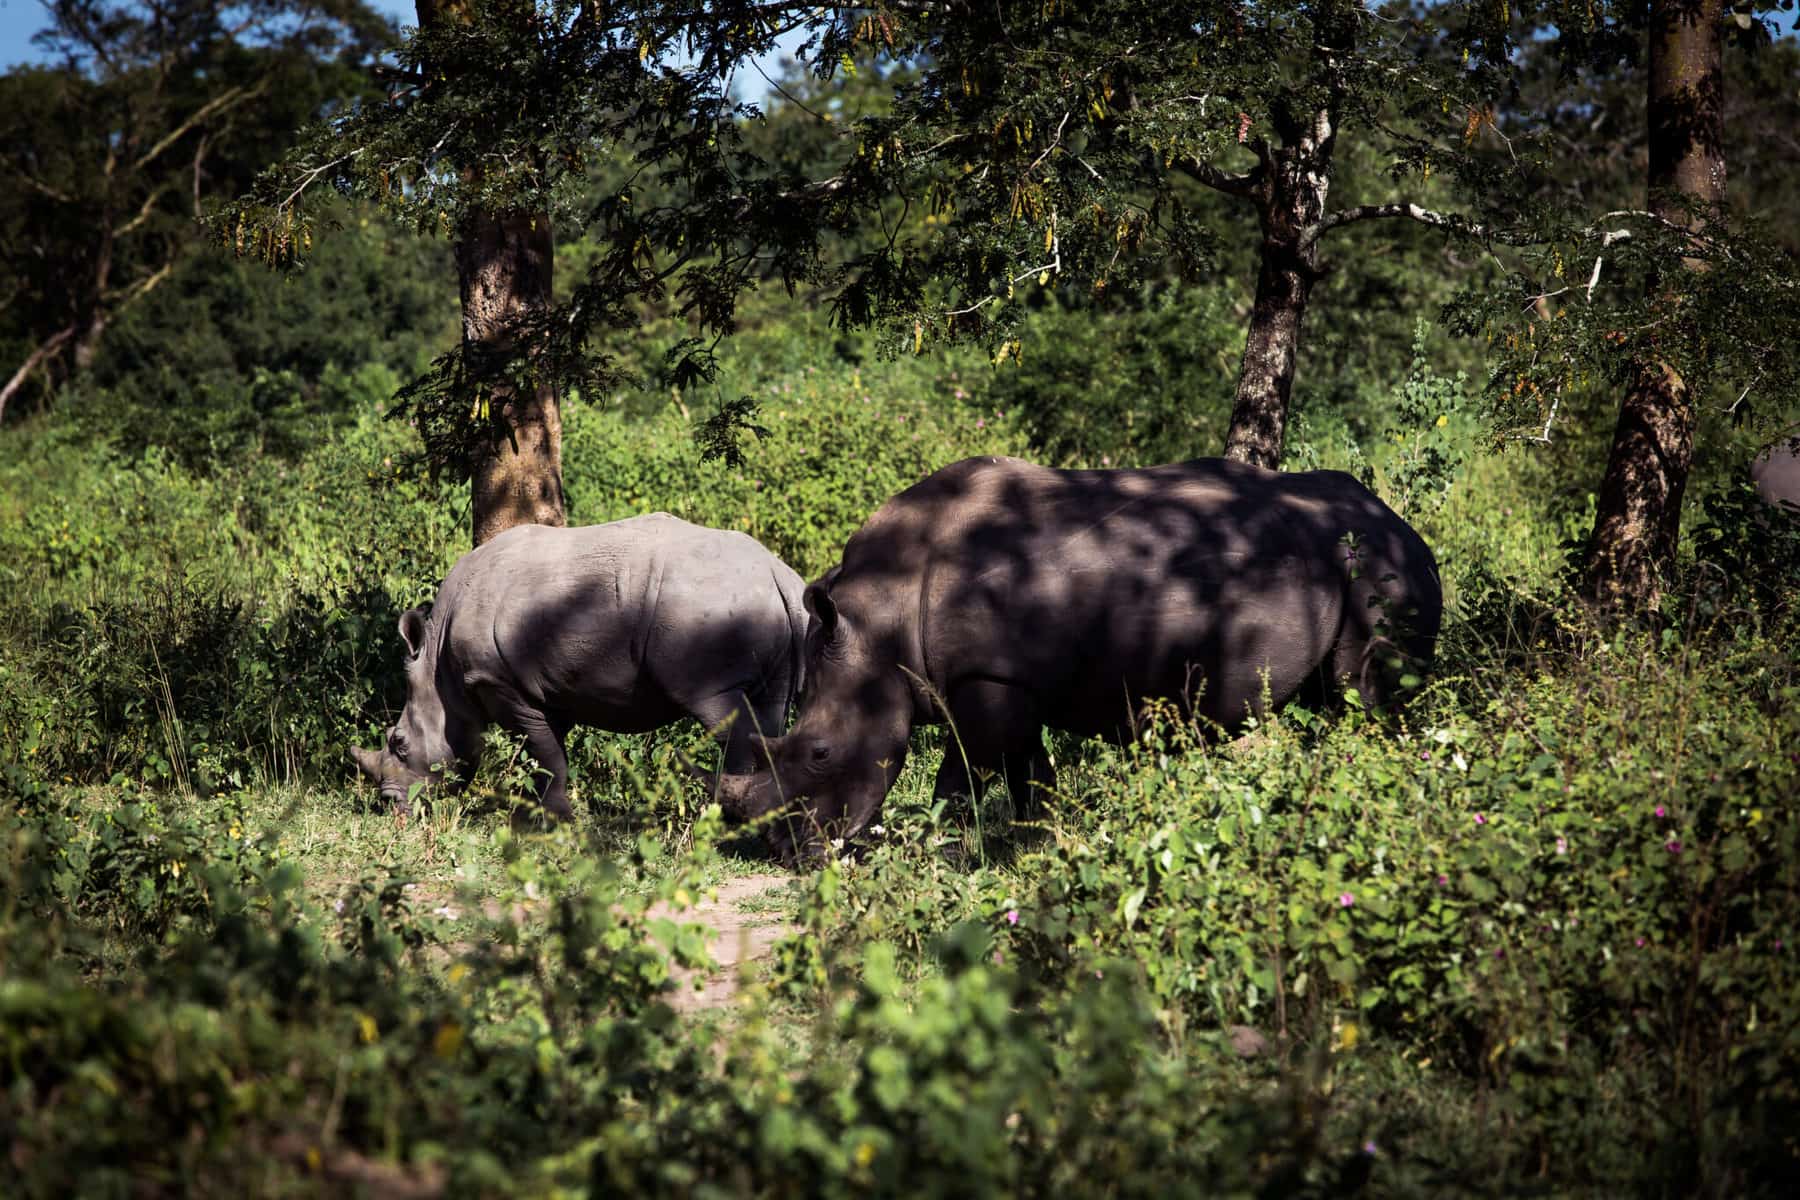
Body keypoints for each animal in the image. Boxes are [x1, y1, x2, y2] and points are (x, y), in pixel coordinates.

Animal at [350, 514, 808, 818]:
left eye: (399, 743)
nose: (391, 806)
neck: (438, 667)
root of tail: (777, 571)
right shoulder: (548, 686)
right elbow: (549, 751)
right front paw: (537, 816)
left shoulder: (500, 683)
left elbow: (543, 754)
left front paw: (550, 822)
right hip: (766, 613)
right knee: (771, 714)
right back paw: (763, 817)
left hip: (704, 616)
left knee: (721, 712)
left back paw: (722, 820)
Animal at [717, 456, 1442, 862]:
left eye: (818, 753)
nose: (791, 854)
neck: (880, 618)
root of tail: (1404, 523)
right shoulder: (1006, 680)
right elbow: (1027, 773)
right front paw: (1035, 846)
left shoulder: (987, 677)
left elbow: (963, 779)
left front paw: (942, 854)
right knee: (1334, 702)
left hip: (1379, 567)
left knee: (1364, 697)